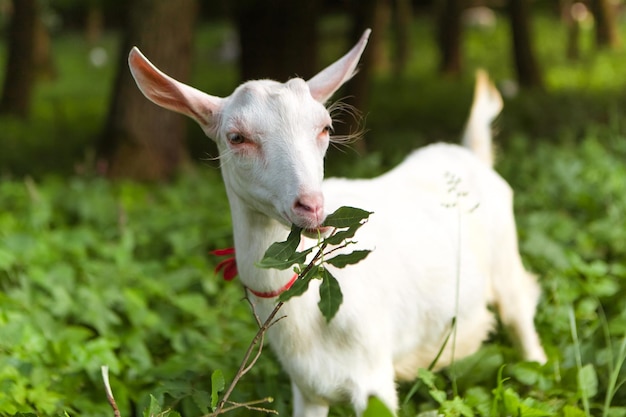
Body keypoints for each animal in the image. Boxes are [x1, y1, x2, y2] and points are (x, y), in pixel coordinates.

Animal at [129, 30, 544, 416]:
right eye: (236, 137)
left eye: (326, 129)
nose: (312, 206)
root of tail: (471, 153)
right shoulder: (307, 389)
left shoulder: (375, 378)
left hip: (506, 261)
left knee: (521, 313)